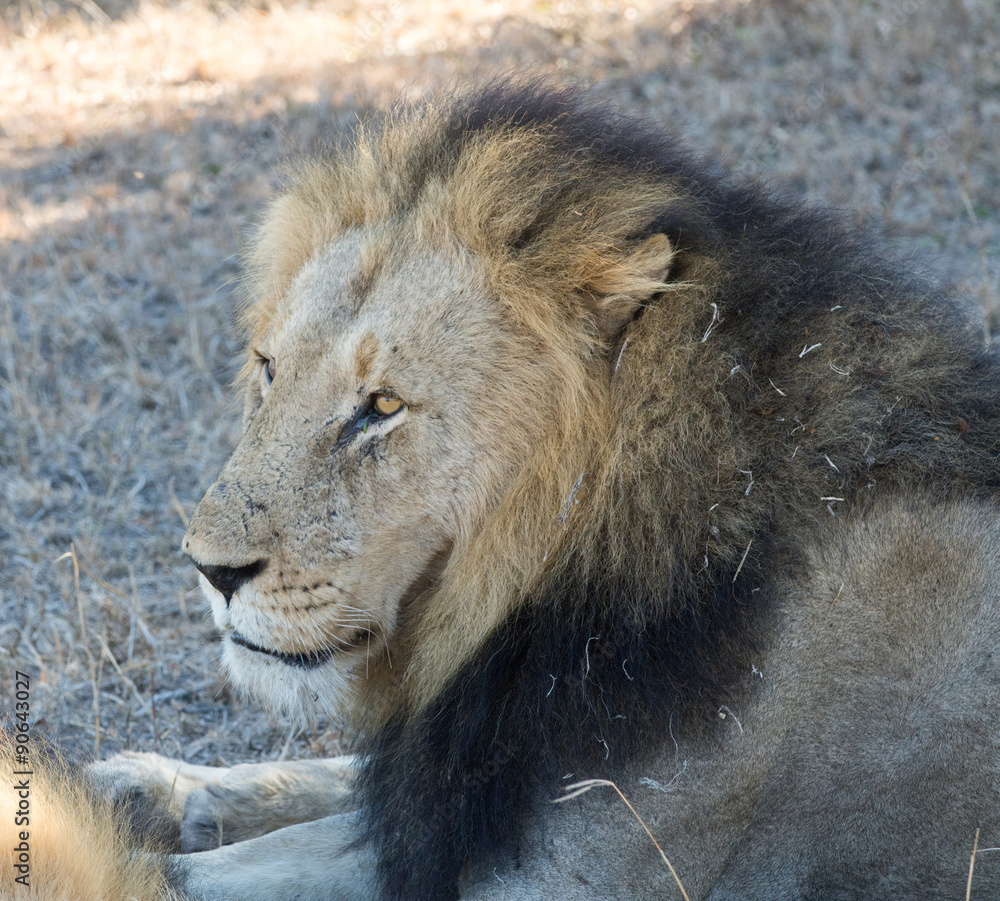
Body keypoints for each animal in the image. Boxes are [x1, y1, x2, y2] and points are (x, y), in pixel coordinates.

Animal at [67, 81, 1000, 899]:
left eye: (382, 407)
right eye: (269, 368)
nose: (209, 570)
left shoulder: (578, 871)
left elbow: (205, 874)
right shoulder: (468, 789)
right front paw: (155, 791)